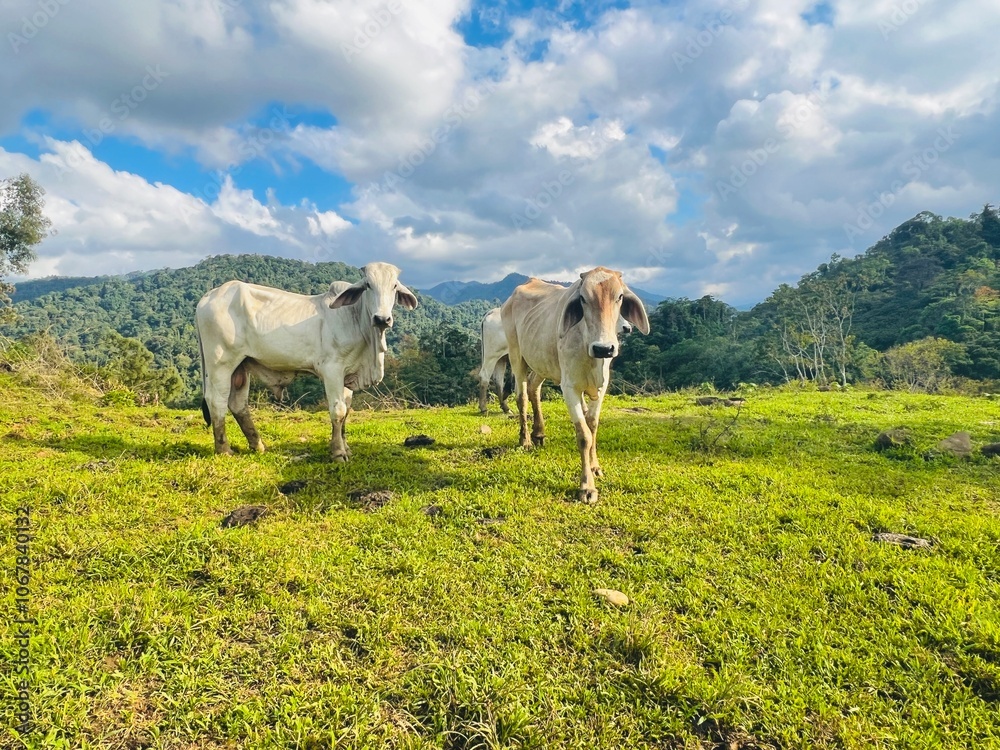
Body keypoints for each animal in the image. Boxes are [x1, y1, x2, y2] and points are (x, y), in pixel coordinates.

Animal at [195, 263, 417, 460]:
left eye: (394, 286)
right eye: (368, 285)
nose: (382, 319)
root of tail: (208, 296)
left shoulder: (348, 373)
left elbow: (346, 410)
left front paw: (345, 447)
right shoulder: (332, 370)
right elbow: (338, 411)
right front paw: (338, 453)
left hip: (241, 365)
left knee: (238, 404)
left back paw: (257, 445)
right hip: (221, 363)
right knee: (216, 401)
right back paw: (224, 450)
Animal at [478, 306, 636, 415]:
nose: (628, 327)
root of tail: (490, 313)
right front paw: (584, 408)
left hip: (501, 358)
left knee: (498, 380)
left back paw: (505, 408)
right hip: (491, 354)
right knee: (484, 376)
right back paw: (484, 408)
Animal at [500, 268, 649, 504]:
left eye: (619, 297)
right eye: (583, 299)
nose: (604, 348)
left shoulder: (602, 385)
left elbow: (593, 425)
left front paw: (595, 467)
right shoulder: (569, 387)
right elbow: (584, 435)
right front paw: (587, 487)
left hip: (543, 363)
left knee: (534, 388)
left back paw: (539, 433)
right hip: (517, 355)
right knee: (522, 396)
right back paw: (525, 440)